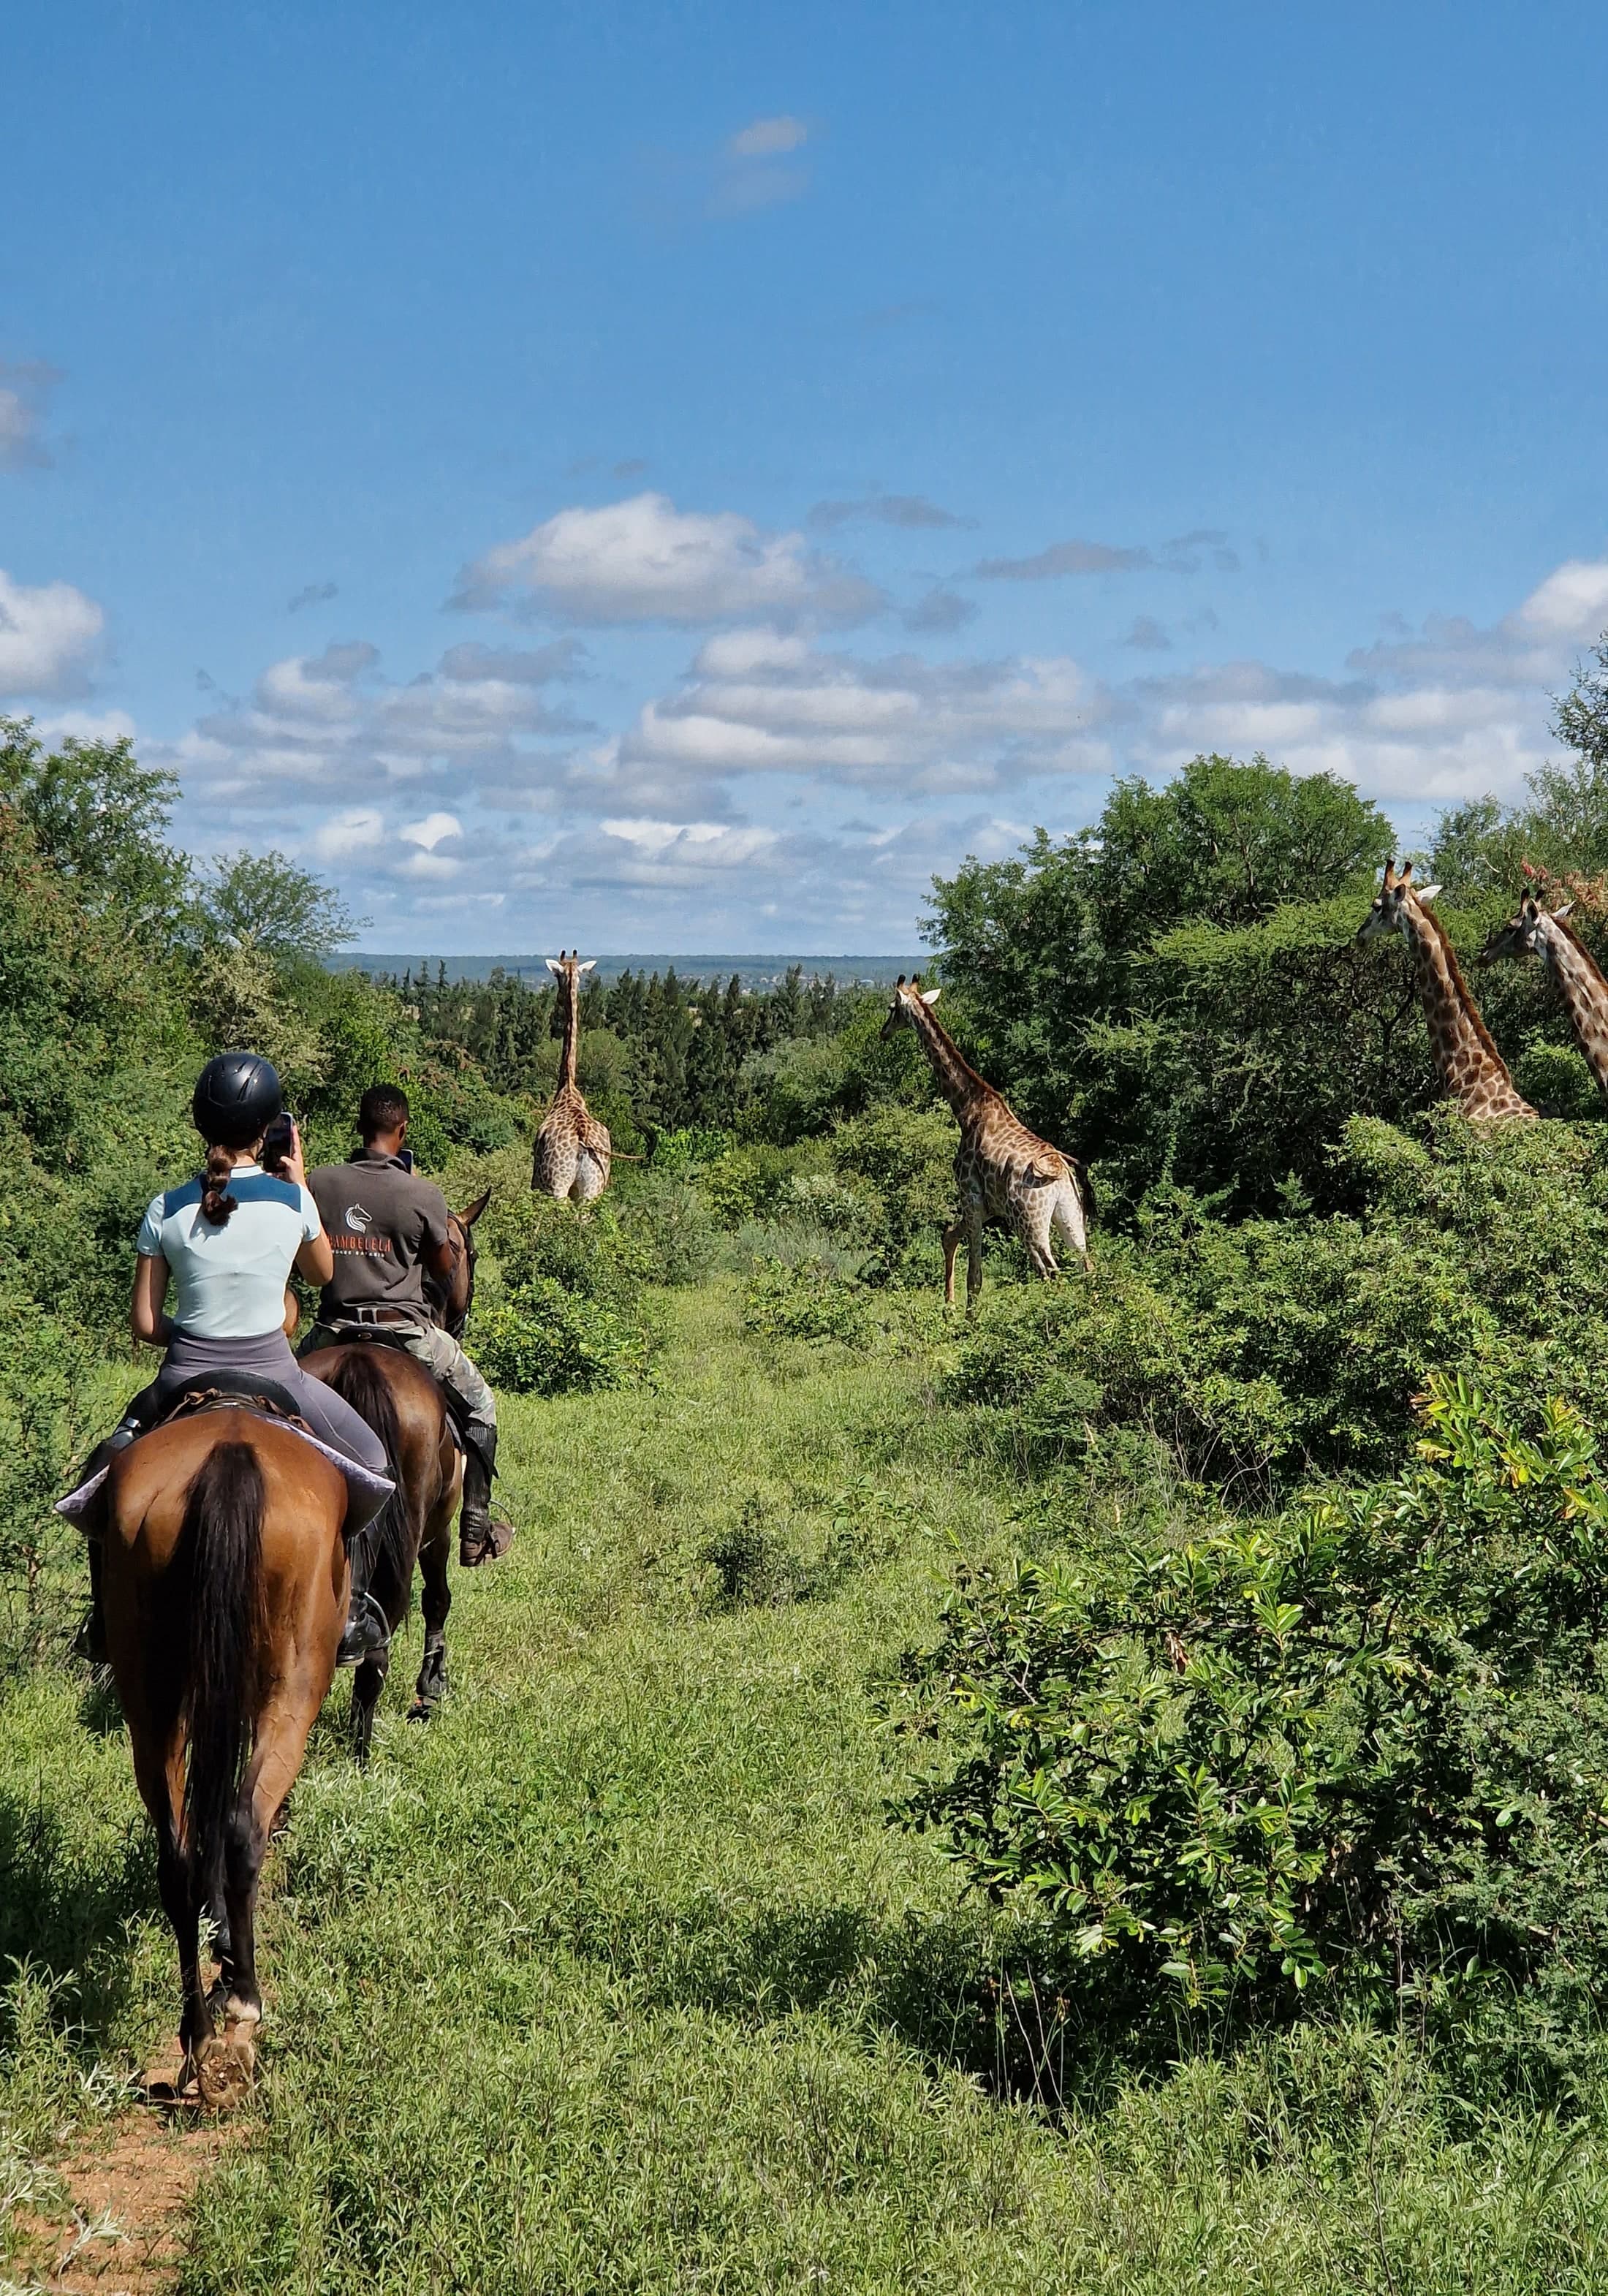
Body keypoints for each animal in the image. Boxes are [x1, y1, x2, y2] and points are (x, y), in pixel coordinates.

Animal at [532, 951, 613, 1202]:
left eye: (556, 976)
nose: (558, 997)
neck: (567, 1086)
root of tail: (582, 1140)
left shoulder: (536, 1179)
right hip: (592, 1190)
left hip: (556, 1185)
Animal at [880, 974, 1091, 1311]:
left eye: (891, 1008)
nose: (883, 1032)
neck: (966, 1108)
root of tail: (1060, 1174)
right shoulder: (990, 1206)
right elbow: (948, 1236)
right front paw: (949, 1309)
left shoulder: (971, 1197)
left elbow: (975, 1277)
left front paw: (966, 1317)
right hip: (1069, 1214)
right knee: (1088, 1267)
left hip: (1029, 1222)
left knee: (1051, 1273)